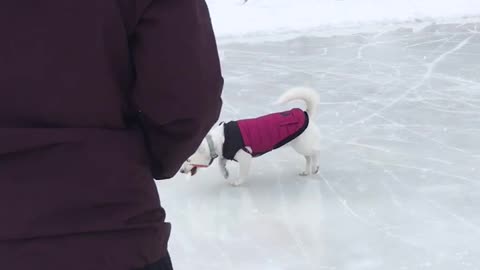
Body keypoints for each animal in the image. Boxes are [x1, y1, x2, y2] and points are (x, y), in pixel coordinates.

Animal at [179, 87, 318, 186]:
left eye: (188, 160)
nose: (181, 171)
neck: (218, 140)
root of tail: (306, 113)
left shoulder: (245, 157)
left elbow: (242, 173)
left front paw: (237, 182)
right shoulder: (225, 153)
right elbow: (220, 162)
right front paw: (225, 173)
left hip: (301, 144)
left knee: (315, 152)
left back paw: (315, 167)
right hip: (300, 145)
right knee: (308, 157)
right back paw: (306, 171)